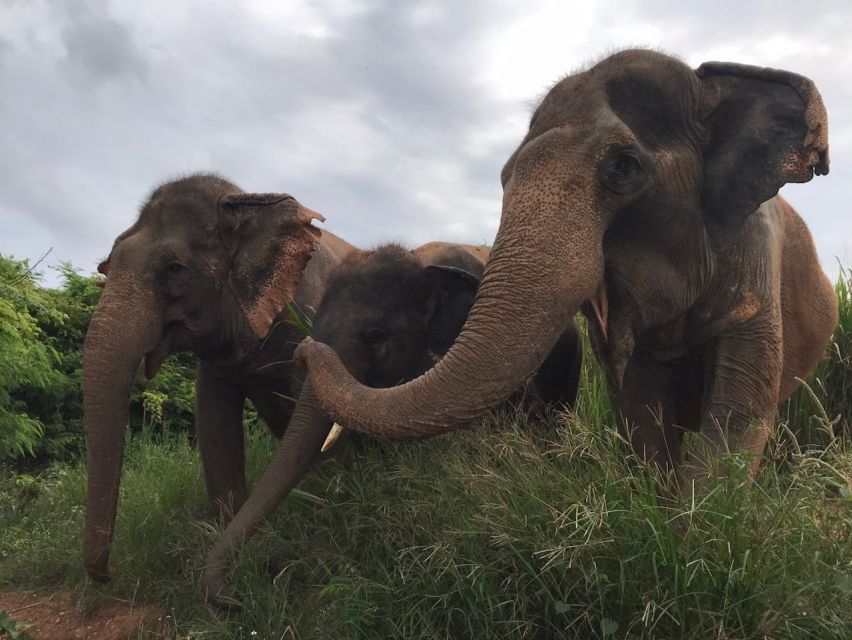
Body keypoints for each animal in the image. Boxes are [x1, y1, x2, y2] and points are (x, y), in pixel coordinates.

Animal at [82, 173, 354, 583]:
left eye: (174, 270)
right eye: (106, 268)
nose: (111, 572)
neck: (242, 200)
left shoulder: (307, 316)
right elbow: (214, 427)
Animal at [296, 50, 838, 494]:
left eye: (623, 167)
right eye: (503, 176)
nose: (305, 347)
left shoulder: (754, 263)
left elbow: (736, 415)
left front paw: (695, 534)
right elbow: (641, 404)